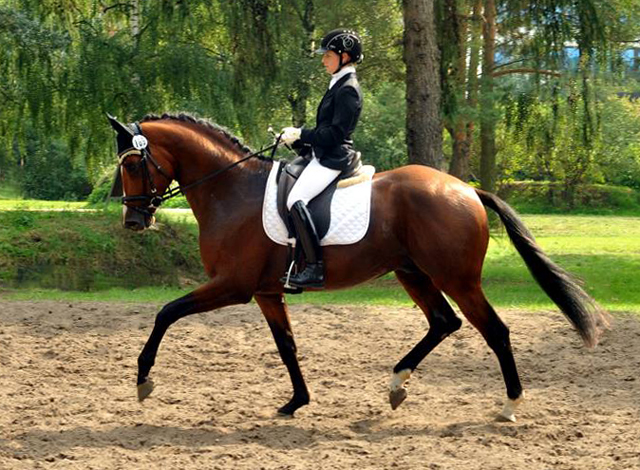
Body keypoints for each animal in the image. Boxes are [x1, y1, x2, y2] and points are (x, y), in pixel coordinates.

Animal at [107, 113, 608, 422]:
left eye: (132, 164)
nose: (134, 221)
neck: (231, 191)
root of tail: (466, 189)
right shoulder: (266, 291)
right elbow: (287, 346)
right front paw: (296, 402)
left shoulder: (232, 285)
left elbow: (166, 313)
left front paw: (143, 380)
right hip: (412, 273)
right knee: (443, 322)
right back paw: (397, 383)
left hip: (456, 278)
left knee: (495, 330)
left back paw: (508, 406)